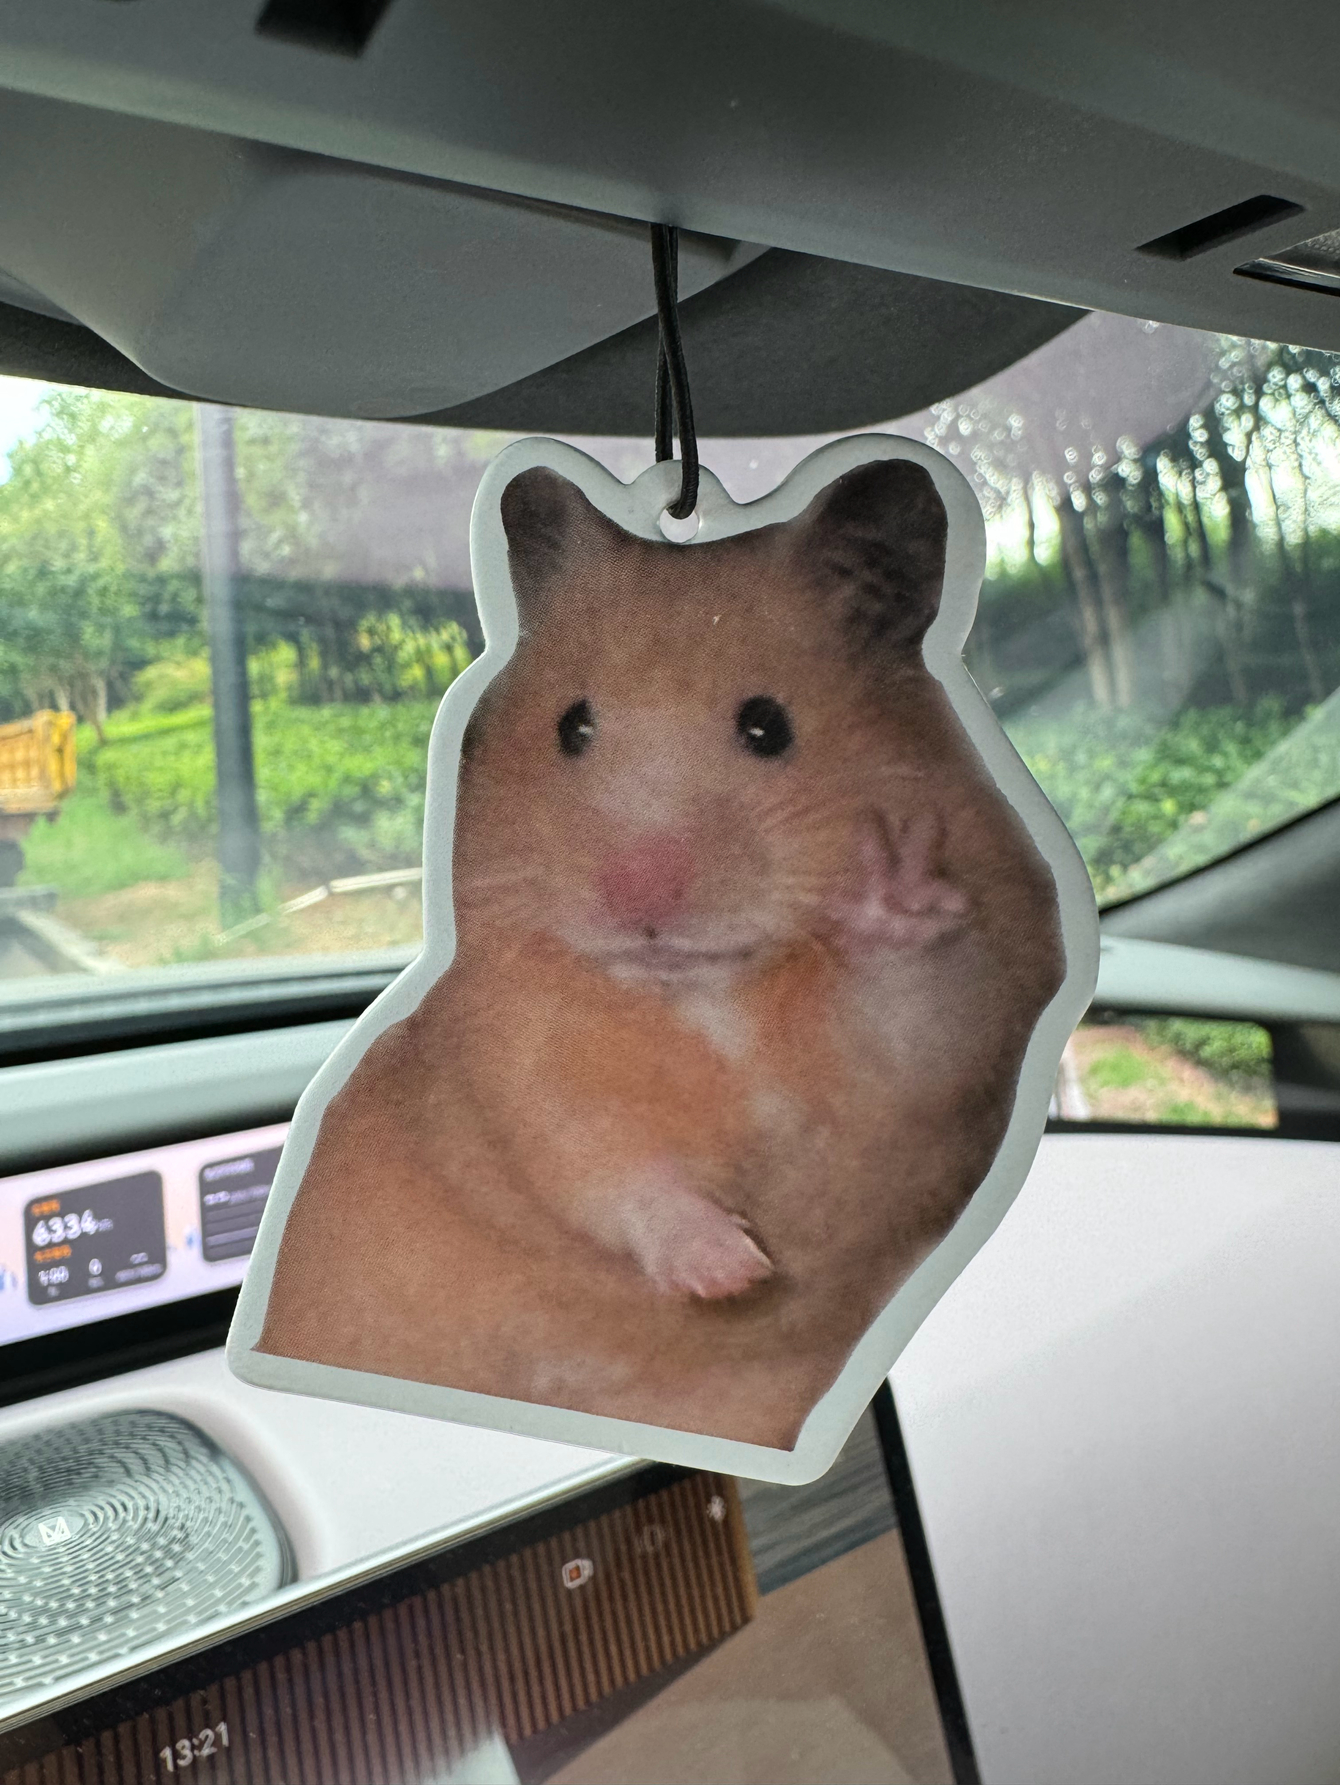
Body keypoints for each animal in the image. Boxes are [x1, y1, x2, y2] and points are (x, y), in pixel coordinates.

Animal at [259, 458, 1065, 1449]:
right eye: (570, 726)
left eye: (768, 726)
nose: (637, 898)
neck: (703, 995)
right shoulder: (522, 1071)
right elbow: (611, 1170)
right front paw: (732, 1271)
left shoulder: (956, 1043)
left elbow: (914, 1015)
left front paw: (893, 885)